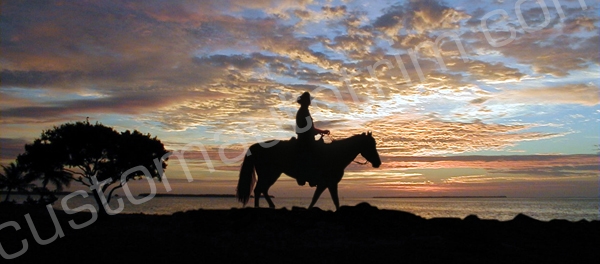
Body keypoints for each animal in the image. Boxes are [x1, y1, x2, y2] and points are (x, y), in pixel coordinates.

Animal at [237, 132, 382, 210]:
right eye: (370, 145)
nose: (378, 163)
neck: (335, 154)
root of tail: (255, 147)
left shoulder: (326, 184)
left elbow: (317, 199)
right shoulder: (329, 183)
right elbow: (332, 200)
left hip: (272, 174)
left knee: (263, 189)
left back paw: (271, 206)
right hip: (269, 174)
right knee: (258, 190)